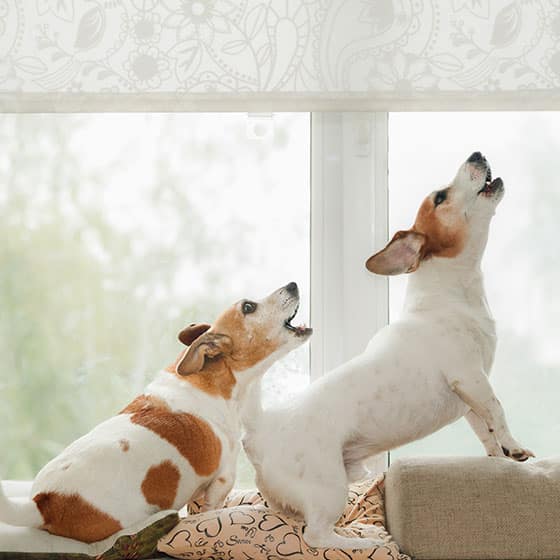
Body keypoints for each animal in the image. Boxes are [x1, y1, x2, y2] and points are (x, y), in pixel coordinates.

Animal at [0, 282, 311, 543]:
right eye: (248, 307)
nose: (292, 284)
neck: (218, 377)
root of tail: (44, 502)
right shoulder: (223, 479)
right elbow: (210, 509)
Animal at [242, 153, 534, 550]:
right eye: (440, 197)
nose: (476, 154)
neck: (454, 293)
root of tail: (260, 430)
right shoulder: (470, 377)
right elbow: (498, 412)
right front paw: (515, 448)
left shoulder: (469, 396)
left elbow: (485, 428)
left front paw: (497, 456)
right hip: (329, 488)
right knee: (316, 536)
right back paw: (364, 543)